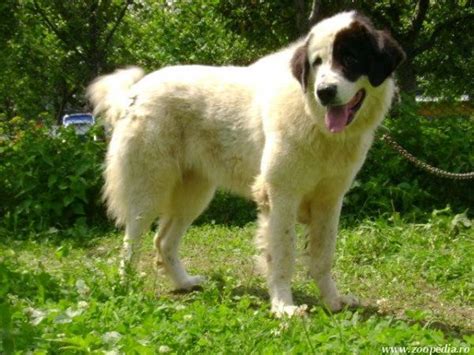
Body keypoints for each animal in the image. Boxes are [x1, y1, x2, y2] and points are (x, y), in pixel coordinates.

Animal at [88, 10, 404, 318]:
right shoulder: (280, 195)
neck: (315, 122)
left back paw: (185, 282)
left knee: (163, 241)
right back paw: (126, 286)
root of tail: (135, 92)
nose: (324, 91)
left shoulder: (330, 199)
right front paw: (284, 306)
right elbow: (282, 255)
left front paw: (333, 300)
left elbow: (323, 255)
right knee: (132, 241)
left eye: (350, 59)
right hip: (149, 190)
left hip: (195, 194)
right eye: (316, 63)